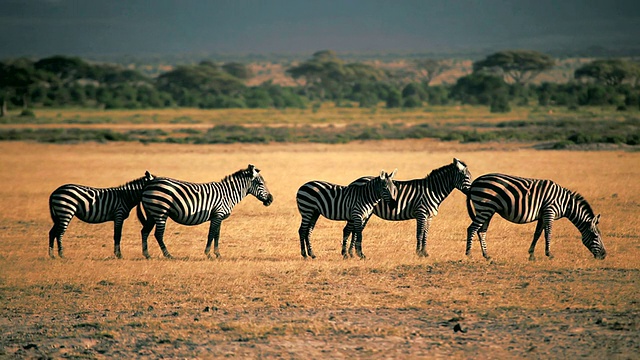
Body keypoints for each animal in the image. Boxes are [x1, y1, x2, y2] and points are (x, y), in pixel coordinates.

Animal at [138, 163, 272, 258]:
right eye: (261, 183)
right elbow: (211, 234)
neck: (228, 194)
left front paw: (218, 254)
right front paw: (208, 254)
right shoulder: (218, 214)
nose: (271, 199)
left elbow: (217, 235)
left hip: (151, 213)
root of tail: (149, 183)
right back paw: (168, 255)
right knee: (158, 234)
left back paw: (147, 255)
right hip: (160, 211)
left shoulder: (218, 217)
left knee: (145, 231)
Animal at [464, 173, 604, 260]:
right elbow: (548, 233)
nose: (604, 255)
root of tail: (475, 181)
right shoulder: (549, 212)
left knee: (481, 231)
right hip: (484, 208)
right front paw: (549, 254)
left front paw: (531, 255)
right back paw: (469, 254)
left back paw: (486, 255)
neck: (566, 203)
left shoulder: (542, 215)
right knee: (472, 229)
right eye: (595, 236)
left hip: (488, 210)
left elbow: (537, 234)